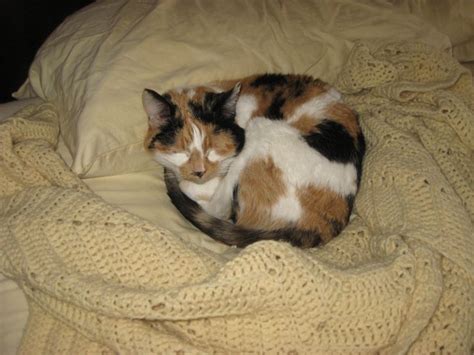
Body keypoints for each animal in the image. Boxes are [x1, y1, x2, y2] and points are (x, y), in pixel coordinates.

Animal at [143, 74, 364, 249]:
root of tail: (324, 224)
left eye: (213, 149)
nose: (199, 171)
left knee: (217, 207)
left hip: (262, 129)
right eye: (180, 151)